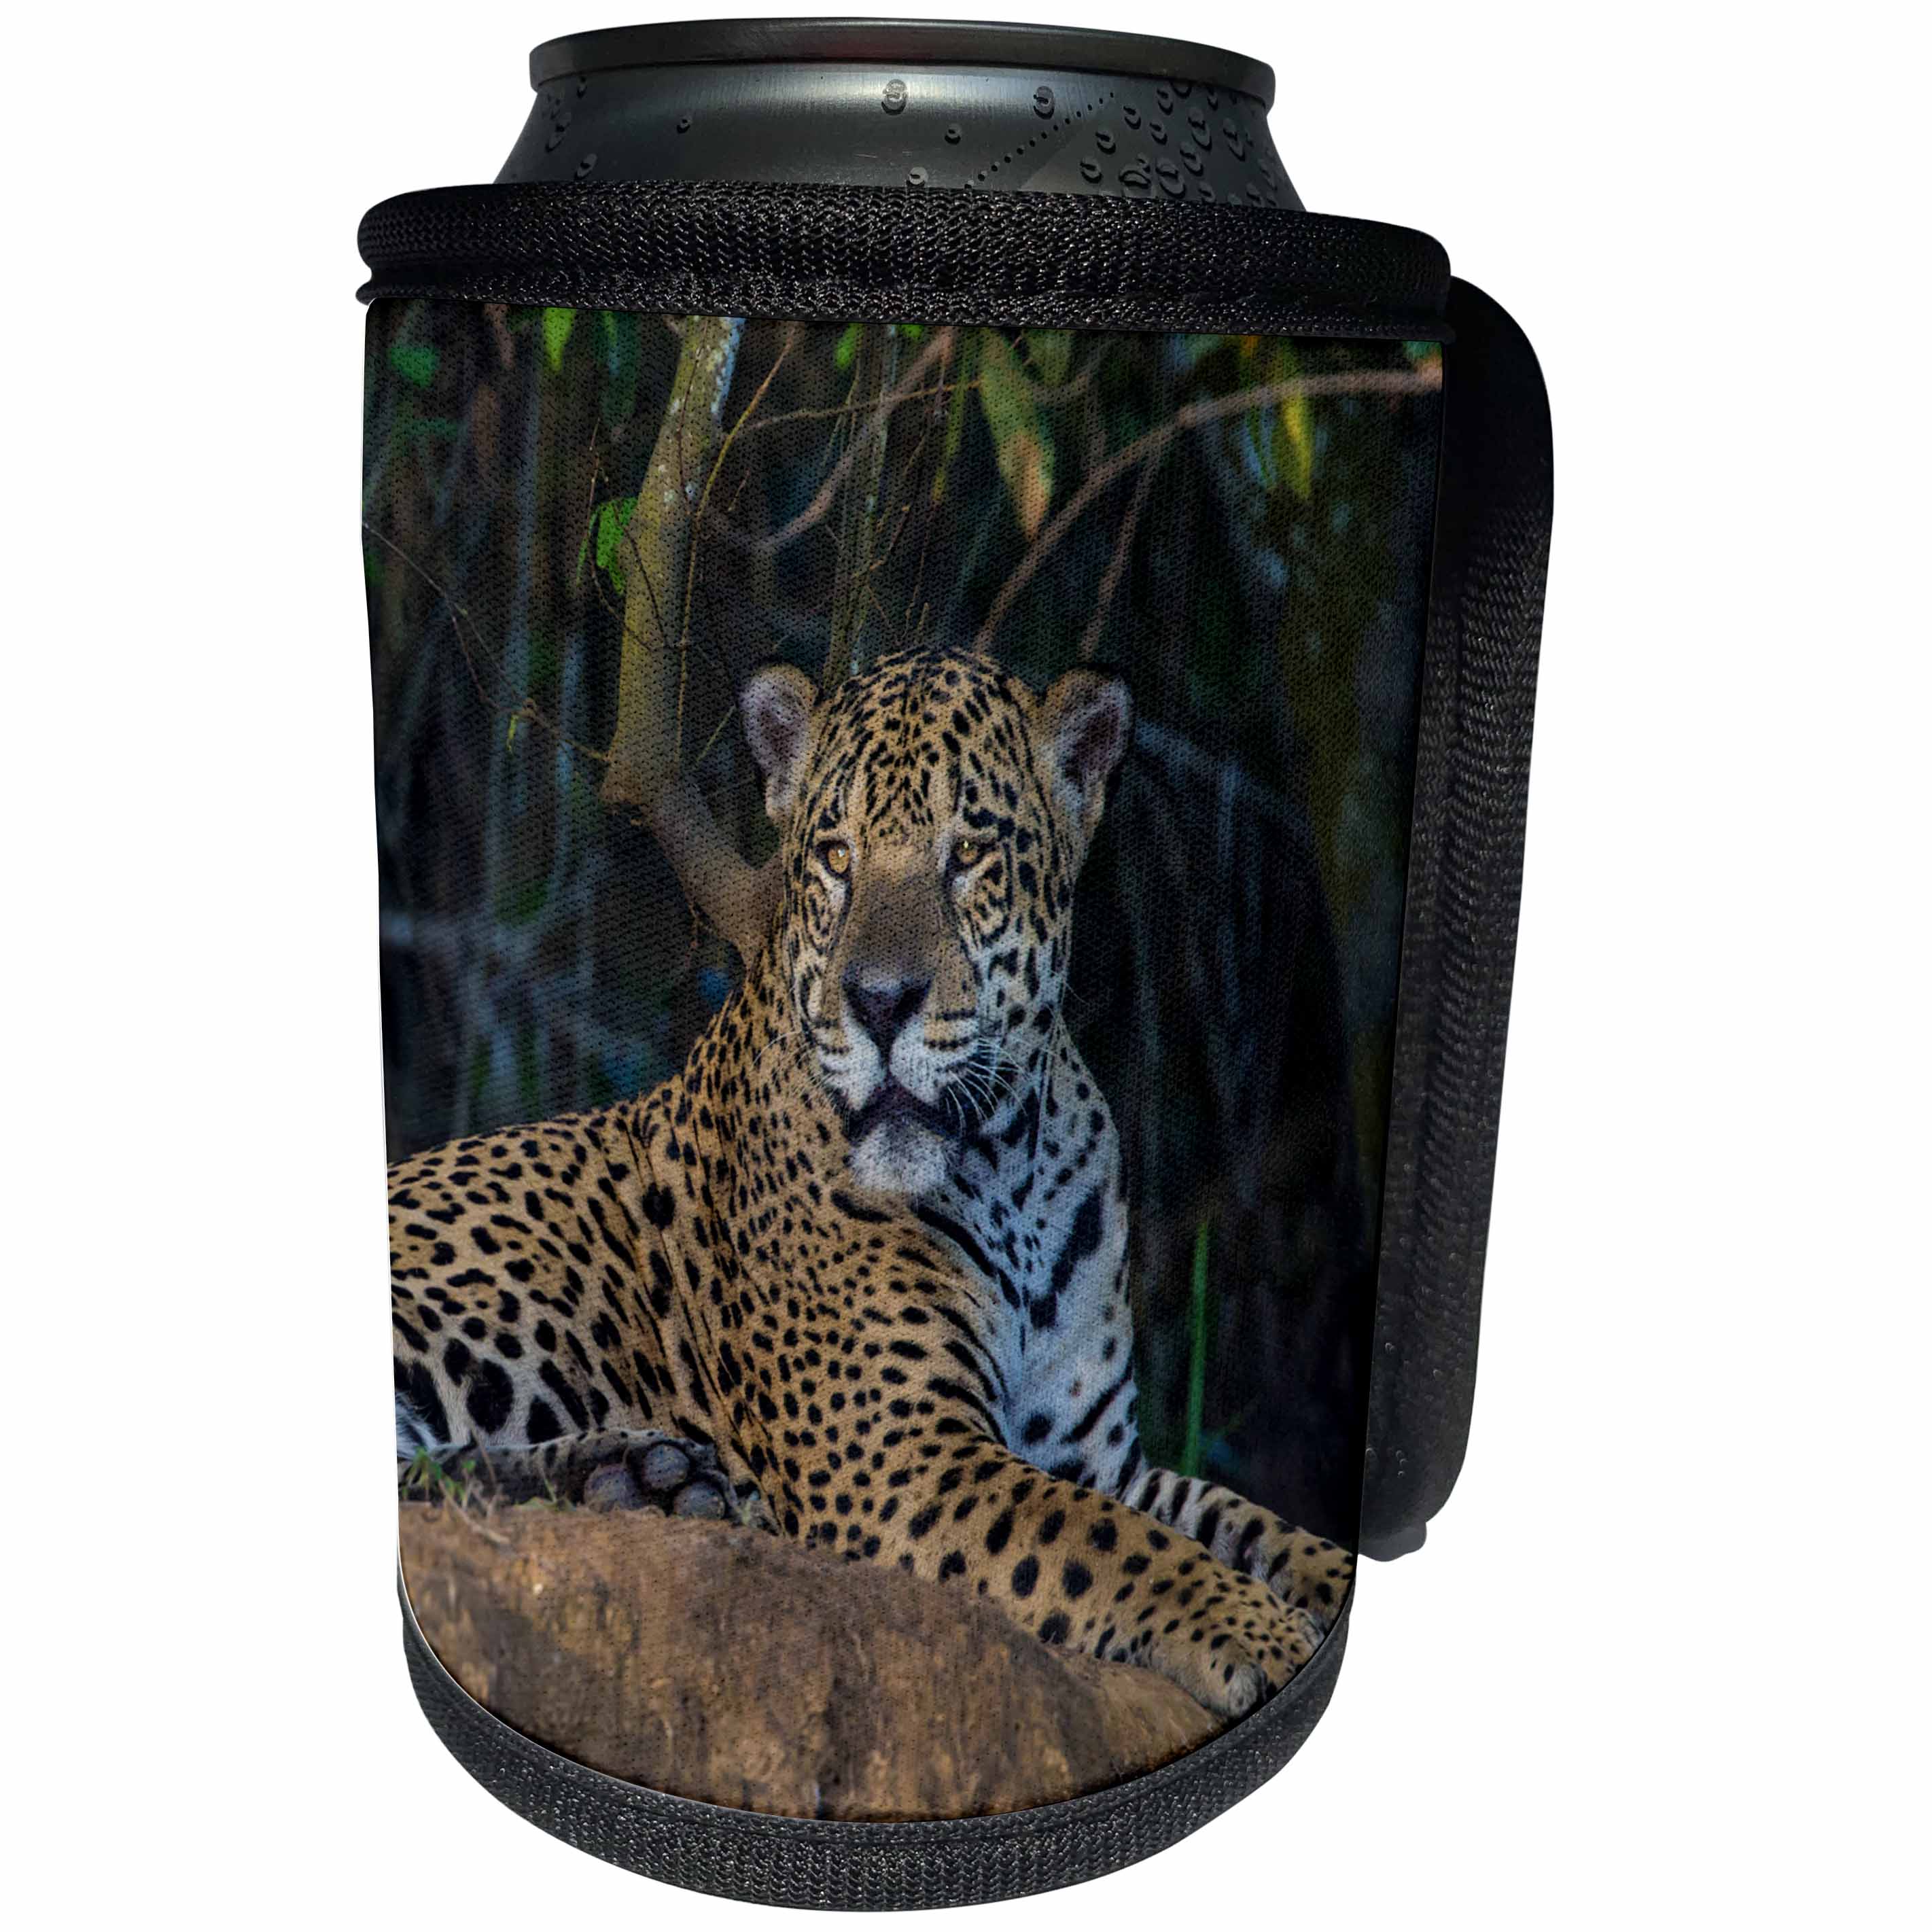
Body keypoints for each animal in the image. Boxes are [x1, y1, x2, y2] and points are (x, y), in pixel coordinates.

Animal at [389, 645, 1352, 1718]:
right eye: (836, 857)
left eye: (967, 852)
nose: (879, 1002)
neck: (1010, 1166)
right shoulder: (903, 1459)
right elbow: (1115, 1543)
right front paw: (1258, 1629)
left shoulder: (1099, 1455)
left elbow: (1250, 1521)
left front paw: (1320, 1590)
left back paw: (643, 1479)